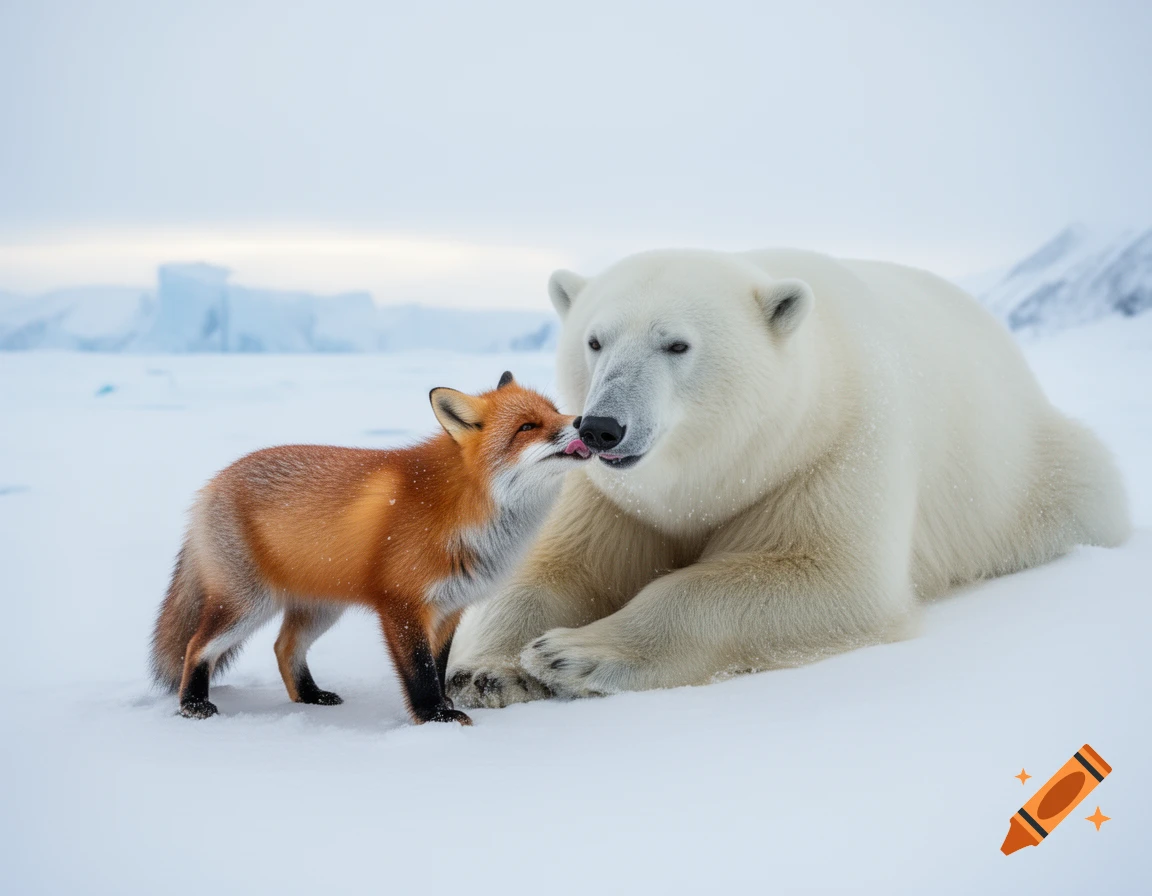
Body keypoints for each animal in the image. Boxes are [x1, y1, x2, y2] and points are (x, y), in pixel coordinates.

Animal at [150, 370, 591, 726]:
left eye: (555, 410)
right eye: (528, 426)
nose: (584, 421)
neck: (469, 506)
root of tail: (213, 483)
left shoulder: (451, 607)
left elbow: (438, 663)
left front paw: (444, 706)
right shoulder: (402, 604)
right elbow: (419, 671)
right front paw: (435, 718)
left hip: (320, 609)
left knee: (283, 647)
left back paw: (310, 696)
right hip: (247, 605)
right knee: (196, 646)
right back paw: (192, 705)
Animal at [446, 248, 1130, 707]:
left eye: (676, 345)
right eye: (594, 340)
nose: (602, 428)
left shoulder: (828, 451)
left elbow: (826, 576)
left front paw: (573, 652)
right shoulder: (609, 496)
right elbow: (554, 568)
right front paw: (488, 669)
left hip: (1027, 471)